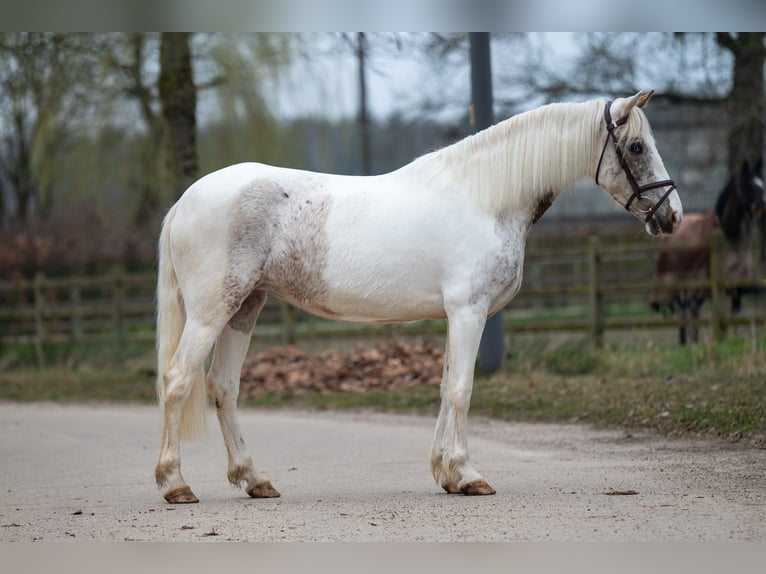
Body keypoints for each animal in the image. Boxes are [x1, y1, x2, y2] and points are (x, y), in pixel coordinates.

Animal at [154, 89, 684, 504]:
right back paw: (175, 484)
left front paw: (446, 473)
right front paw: (469, 475)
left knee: (223, 387)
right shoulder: (469, 312)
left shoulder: (456, 315)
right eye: (636, 146)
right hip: (211, 312)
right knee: (178, 380)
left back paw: (254, 480)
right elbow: (462, 390)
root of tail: (184, 201)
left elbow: (446, 389)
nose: (672, 215)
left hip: (244, 308)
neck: (485, 197)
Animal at [656, 160, 766, 344]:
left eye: (762, 184)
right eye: (748, 185)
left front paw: (733, 339)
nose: (761, 210)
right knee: (685, 313)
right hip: (683, 285)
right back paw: (685, 343)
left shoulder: (736, 286)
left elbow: (733, 315)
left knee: (693, 313)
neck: (730, 237)